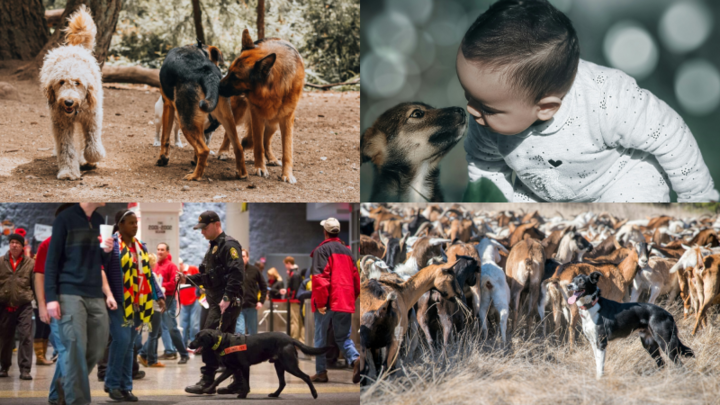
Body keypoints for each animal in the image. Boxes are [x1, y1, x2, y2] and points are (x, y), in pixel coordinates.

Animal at [40, 5, 105, 180]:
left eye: (78, 83)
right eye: (61, 82)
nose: (68, 102)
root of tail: (74, 47)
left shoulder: (92, 118)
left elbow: (92, 144)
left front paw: (92, 158)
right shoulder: (62, 124)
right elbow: (66, 149)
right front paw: (68, 171)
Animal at [157, 40, 248, 180]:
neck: (199, 49)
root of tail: (207, 72)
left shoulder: (167, 105)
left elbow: (165, 138)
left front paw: (163, 159)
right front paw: (196, 161)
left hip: (186, 122)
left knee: (204, 150)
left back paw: (195, 176)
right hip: (227, 119)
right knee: (238, 146)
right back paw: (241, 174)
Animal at [188, 328, 330, 398]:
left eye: (198, 338)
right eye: (195, 337)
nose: (189, 344)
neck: (224, 342)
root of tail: (290, 338)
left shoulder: (244, 367)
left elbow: (246, 383)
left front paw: (243, 394)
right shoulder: (230, 368)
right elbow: (218, 379)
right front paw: (207, 389)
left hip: (289, 365)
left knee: (306, 377)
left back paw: (314, 394)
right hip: (279, 365)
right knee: (282, 383)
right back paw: (275, 394)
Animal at [215, 29, 302, 183]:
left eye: (235, 77)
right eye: (229, 71)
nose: (216, 86)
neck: (273, 88)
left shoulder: (287, 119)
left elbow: (287, 150)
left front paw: (287, 174)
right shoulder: (257, 116)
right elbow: (258, 145)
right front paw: (260, 168)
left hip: (273, 124)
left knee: (266, 141)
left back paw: (271, 158)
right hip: (238, 113)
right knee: (229, 132)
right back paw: (223, 151)